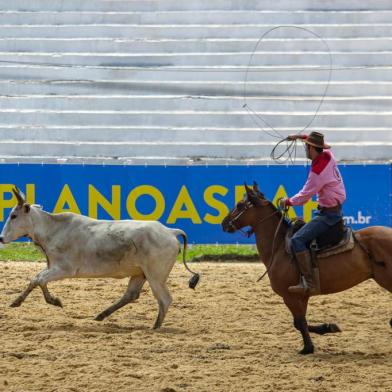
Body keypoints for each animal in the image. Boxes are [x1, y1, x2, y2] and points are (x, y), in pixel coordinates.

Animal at [222, 182, 390, 354]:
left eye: (239, 205)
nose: (224, 223)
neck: (279, 247)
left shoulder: (290, 296)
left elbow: (299, 322)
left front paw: (308, 347)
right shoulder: (302, 296)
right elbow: (300, 322)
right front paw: (329, 327)